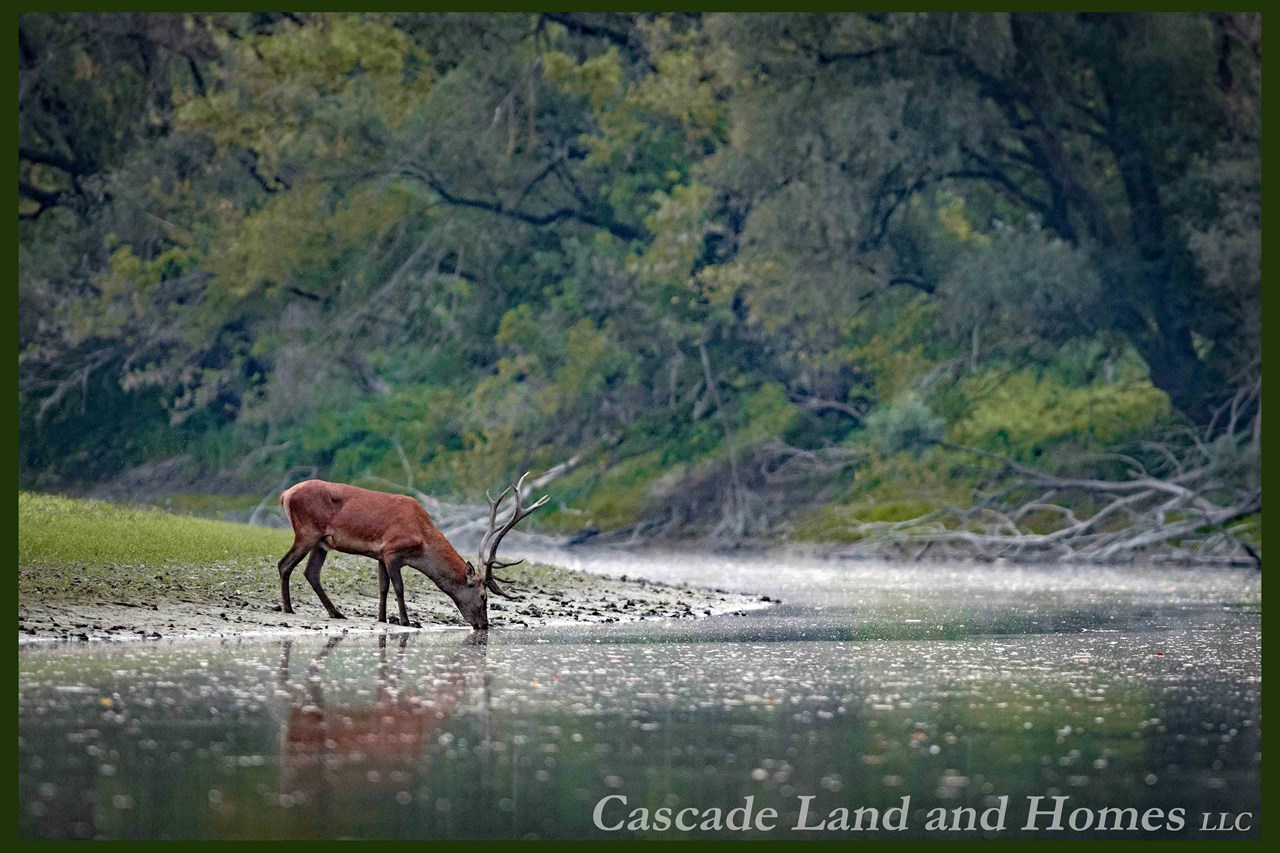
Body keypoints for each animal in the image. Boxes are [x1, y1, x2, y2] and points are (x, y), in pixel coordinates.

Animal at [276, 472, 548, 630]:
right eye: (483, 596)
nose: (484, 625)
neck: (422, 539)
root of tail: (285, 494)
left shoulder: (379, 554)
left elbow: (383, 587)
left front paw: (382, 618)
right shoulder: (392, 551)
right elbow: (398, 587)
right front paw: (407, 621)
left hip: (322, 542)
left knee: (311, 573)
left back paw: (336, 613)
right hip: (307, 532)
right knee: (284, 564)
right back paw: (289, 608)